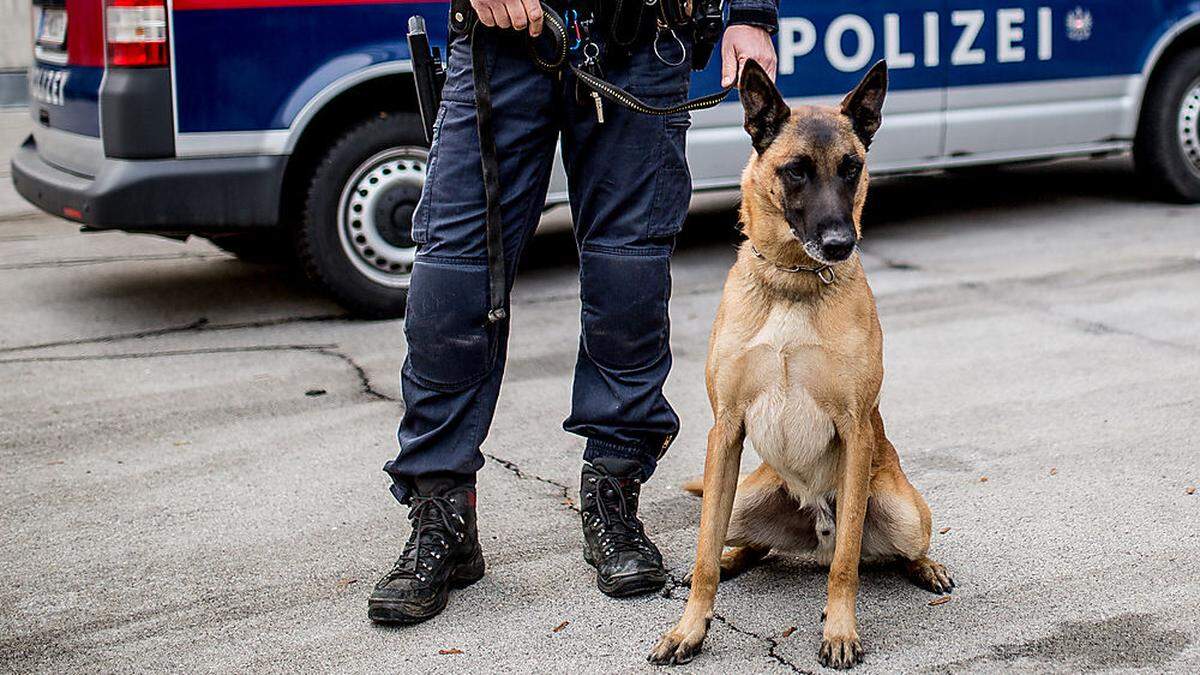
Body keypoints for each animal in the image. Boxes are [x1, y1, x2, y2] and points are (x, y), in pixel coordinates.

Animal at [652, 59, 950, 667]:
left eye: (851, 169)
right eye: (795, 172)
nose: (839, 243)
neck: (791, 283)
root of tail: (815, 533)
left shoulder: (857, 431)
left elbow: (847, 566)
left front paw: (840, 630)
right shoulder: (726, 431)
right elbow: (701, 552)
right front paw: (690, 628)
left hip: (904, 512)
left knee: (881, 552)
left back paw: (925, 567)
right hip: (742, 495)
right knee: (744, 544)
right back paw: (732, 560)